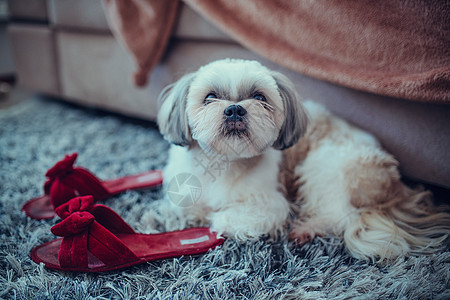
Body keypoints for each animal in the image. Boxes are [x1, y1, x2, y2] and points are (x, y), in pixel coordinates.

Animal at [156, 59, 448, 262]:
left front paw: (212, 220)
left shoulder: (270, 206)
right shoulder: (181, 192)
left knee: (340, 215)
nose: (235, 109)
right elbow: (182, 208)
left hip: (325, 164)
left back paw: (305, 228)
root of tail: (395, 184)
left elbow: (225, 218)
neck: (226, 162)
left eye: (259, 97)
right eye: (210, 97)